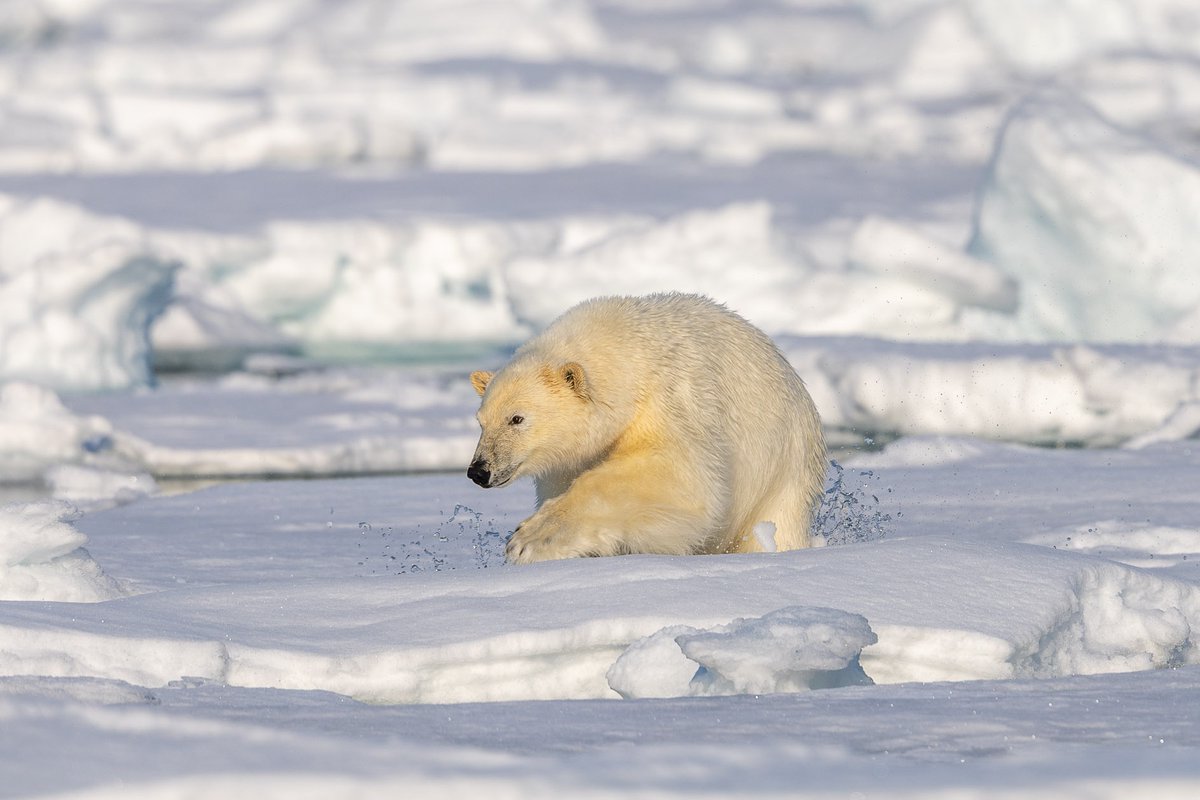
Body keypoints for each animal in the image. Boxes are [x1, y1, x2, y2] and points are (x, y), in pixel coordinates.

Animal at [468, 292, 825, 563]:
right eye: (482, 421)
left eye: (516, 418)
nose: (479, 470)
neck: (628, 353)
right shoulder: (567, 464)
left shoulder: (671, 401)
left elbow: (682, 480)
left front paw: (528, 539)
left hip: (782, 474)